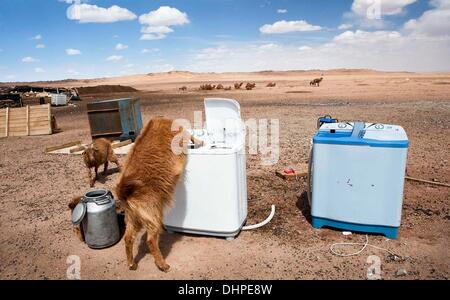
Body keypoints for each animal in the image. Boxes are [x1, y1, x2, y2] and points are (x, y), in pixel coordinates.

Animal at [116, 118, 199, 272]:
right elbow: (189, 135)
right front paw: (200, 141)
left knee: (128, 238)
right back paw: (162, 264)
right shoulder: (182, 134)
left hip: (133, 218)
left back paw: (131, 264)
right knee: (151, 240)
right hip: (153, 214)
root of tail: (124, 191)